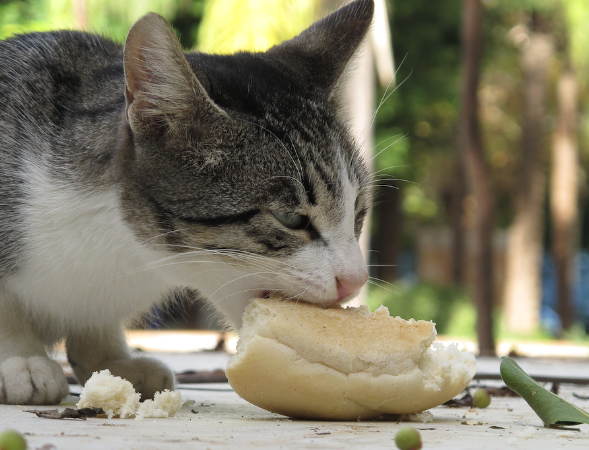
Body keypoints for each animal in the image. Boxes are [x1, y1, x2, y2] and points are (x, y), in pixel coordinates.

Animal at [0, 0, 372, 406]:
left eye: (357, 211)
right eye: (289, 218)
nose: (355, 280)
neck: (125, 256)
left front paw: (109, 359)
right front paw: (19, 357)